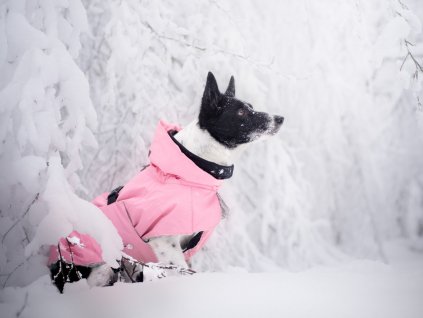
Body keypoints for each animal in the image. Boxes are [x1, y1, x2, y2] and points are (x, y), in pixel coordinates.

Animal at [48, 71, 284, 290]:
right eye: (241, 112)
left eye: (251, 106)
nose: (280, 118)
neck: (192, 171)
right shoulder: (164, 240)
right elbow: (180, 270)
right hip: (105, 264)